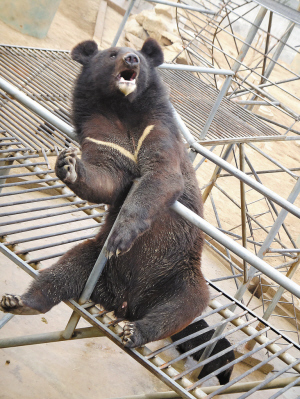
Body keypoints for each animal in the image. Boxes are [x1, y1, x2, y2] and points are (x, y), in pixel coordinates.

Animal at [0, 39, 210, 348]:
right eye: (112, 54)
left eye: (139, 56)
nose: (131, 59)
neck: (121, 109)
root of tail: (123, 303)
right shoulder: (101, 134)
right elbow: (108, 178)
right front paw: (68, 164)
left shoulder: (157, 129)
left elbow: (162, 176)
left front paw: (121, 237)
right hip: (95, 260)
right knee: (66, 269)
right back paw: (20, 301)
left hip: (179, 271)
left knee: (181, 307)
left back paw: (134, 331)